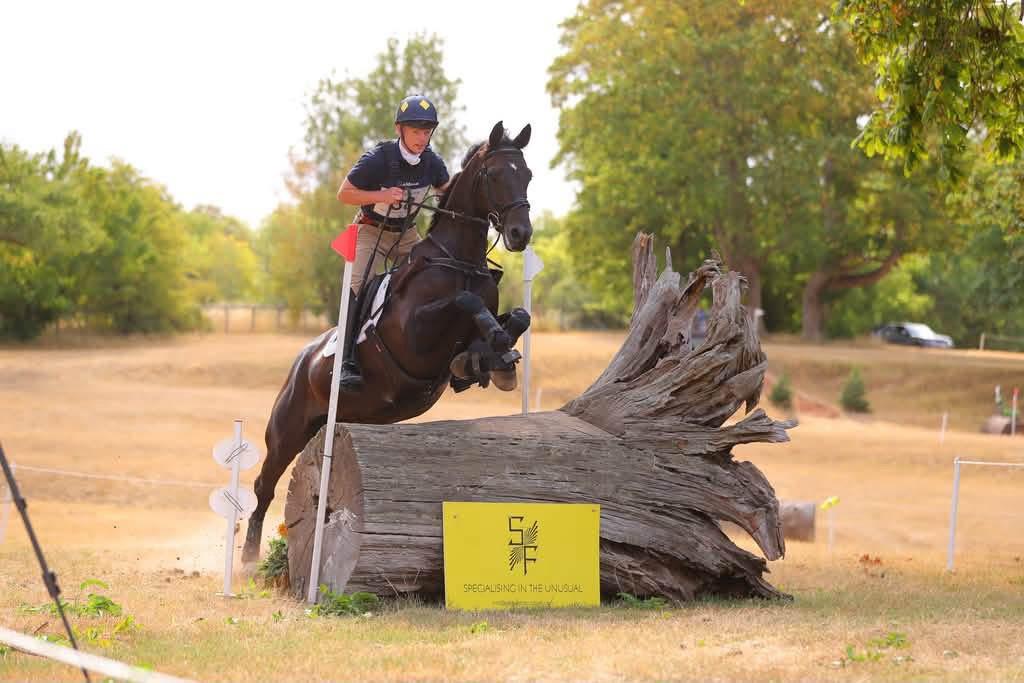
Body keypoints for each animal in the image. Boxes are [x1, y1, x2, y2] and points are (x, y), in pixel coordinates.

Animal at [242, 121, 534, 562]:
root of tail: (303, 359)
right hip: (287, 428)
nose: (521, 234)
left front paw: (492, 361)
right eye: (496, 174)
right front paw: (492, 347)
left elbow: (517, 317)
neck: (460, 261)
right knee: (264, 485)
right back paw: (247, 559)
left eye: (528, 175)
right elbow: (464, 302)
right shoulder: (415, 336)